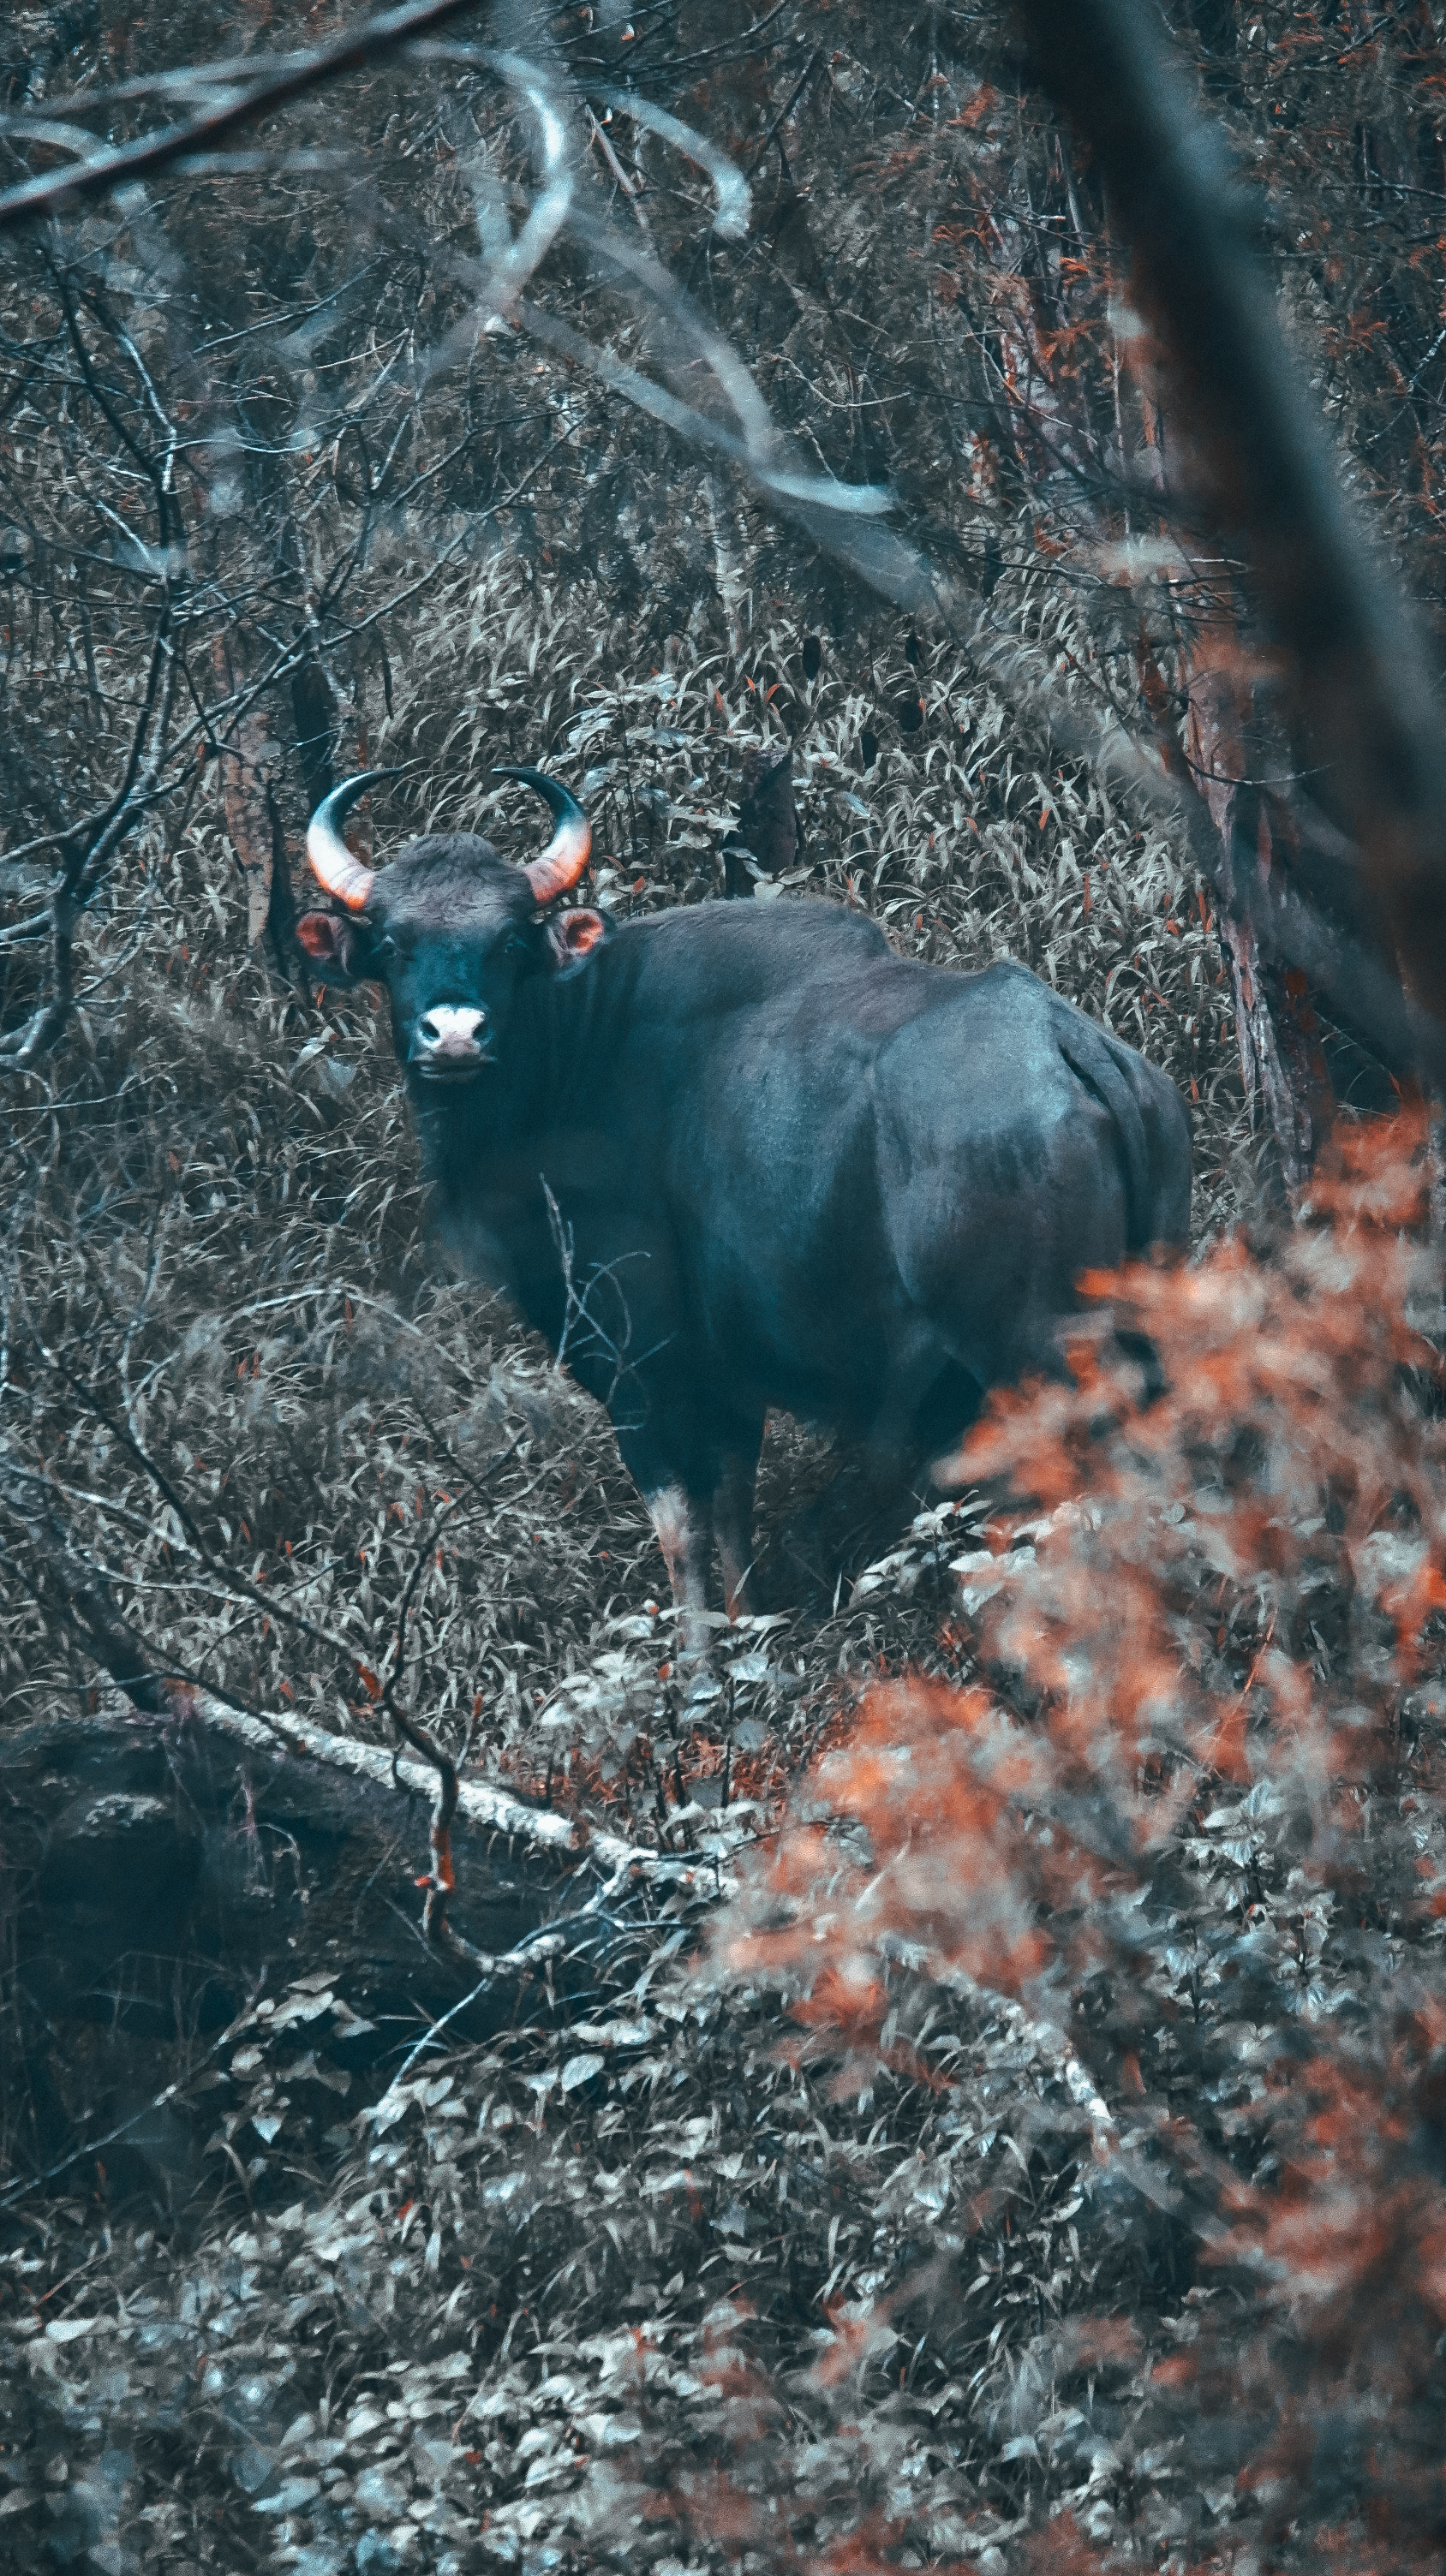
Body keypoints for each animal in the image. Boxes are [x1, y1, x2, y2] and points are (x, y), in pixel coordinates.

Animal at [297, 767, 1191, 1644]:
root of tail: (1070, 1043)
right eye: (392, 944)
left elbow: (679, 1527)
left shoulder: (638, 1361)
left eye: (511, 941)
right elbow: (731, 1509)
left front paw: (696, 1656)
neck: (574, 1062)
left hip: (1035, 1360)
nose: (454, 1036)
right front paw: (746, 1631)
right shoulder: (729, 1376)